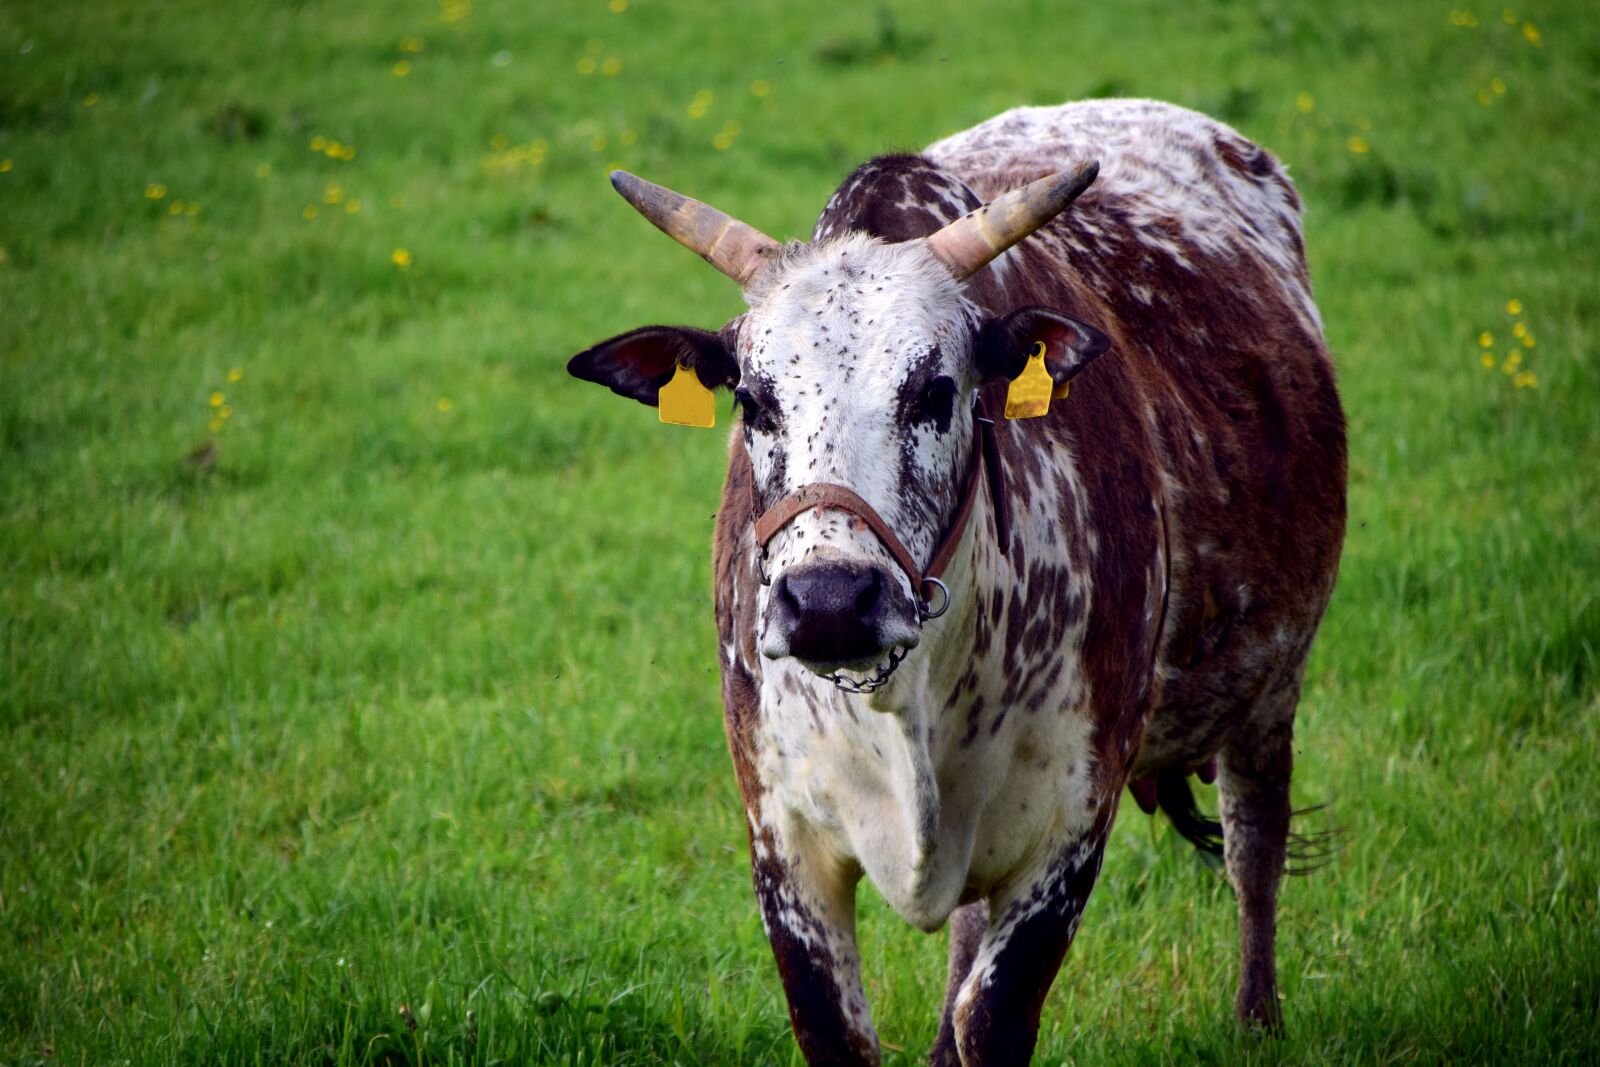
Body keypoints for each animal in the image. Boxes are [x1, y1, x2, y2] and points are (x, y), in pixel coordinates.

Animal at [567, 99, 1346, 1065]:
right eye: (752, 399)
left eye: (936, 390)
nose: (829, 603)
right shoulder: (782, 839)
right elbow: (839, 1024)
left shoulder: (1069, 831)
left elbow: (993, 1014)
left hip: (1273, 685)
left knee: (1254, 843)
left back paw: (1256, 1014)